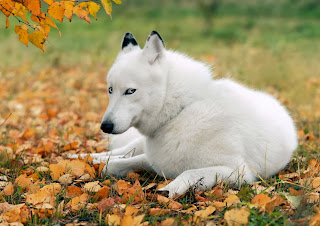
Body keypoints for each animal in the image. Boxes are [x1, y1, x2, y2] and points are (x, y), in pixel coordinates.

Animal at [73, 30, 298, 197]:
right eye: (110, 90)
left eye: (130, 91)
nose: (105, 126)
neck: (180, 112)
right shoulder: (154, 159)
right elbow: (113, 165)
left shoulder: (238, 172)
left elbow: (190, 172)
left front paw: (169, 189)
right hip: (136, 145)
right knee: (117, 152)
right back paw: (82, 156)